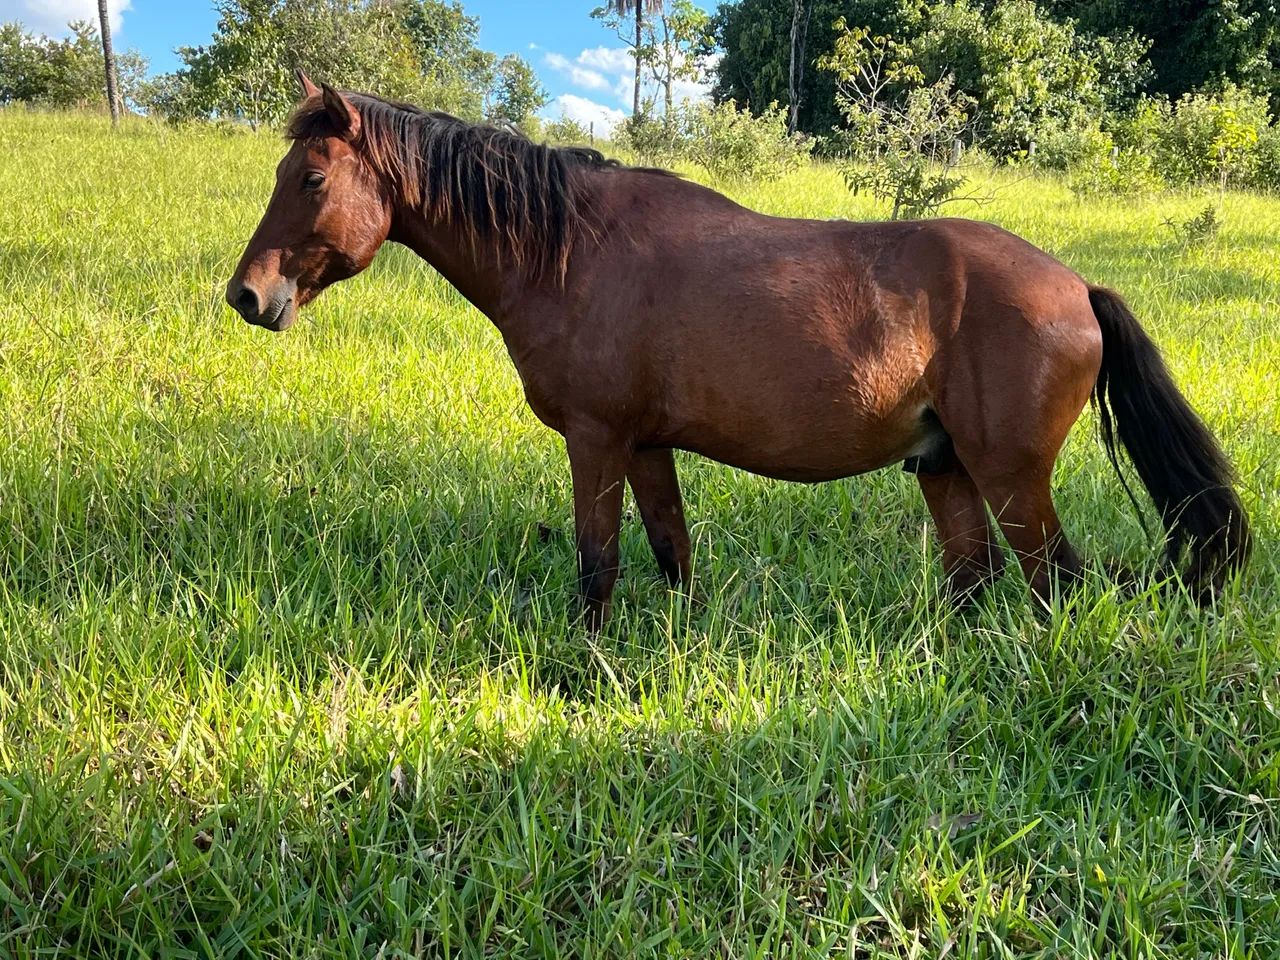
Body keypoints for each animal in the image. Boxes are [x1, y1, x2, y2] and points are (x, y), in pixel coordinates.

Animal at [226, 73, 1250, 628]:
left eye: (310, 178)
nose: (247, 296)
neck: (570, 252)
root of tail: (1078, 287)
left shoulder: (597, 440)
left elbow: (598, 563)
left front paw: (582, 676)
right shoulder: (646, 446)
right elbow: (671, 553)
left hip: (1010, 477)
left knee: (1051, 582)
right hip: (945, 468)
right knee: (977, 581)